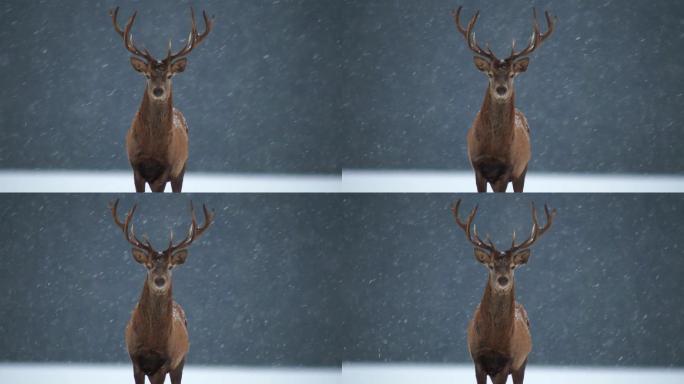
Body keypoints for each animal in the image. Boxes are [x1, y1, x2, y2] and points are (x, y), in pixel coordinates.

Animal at [111, 8, 212, 195]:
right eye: (147, 75)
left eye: (169, 75)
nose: (158, 90)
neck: (152, 148)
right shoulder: (136, 167)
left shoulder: (166, 169)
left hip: (182, 168)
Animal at [111, 200, 212, 384]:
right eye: (148, 265)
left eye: (170, 266)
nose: (160, 280)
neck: (152, 341)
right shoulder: (135, 360)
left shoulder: (165, 363)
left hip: (181, 360)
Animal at [454, 6, 556, 192]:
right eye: (490, 74)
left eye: (512, 74)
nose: (501, 89)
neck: (494, 149)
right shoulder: (477, 168)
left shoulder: (507, 170)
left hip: (523, 170)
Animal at [454, 200, 556, 384]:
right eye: (491, 265)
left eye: (513, 266)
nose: (503, 280)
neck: (494, 341)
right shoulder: (477, 360)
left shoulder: (507, 362)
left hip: (522, 362)